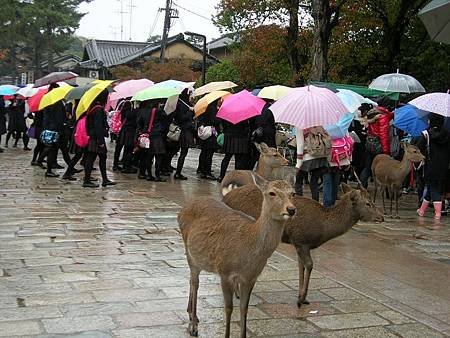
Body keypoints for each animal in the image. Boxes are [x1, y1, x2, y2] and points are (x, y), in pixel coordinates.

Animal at [178, 174, 298, 338]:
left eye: (293, 193)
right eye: (272, 193)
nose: (291, 209)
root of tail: (182, 209)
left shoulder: (251, 277)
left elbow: (244, 308)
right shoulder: (224, 271)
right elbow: (229, 308)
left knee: (193, 281)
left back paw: (192, 315)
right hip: (189, 252)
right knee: (194, 282)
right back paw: (193, 325)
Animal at [223, 184, 382, 308]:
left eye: (372, 201)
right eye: (368, 203)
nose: (381, 217)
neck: (323, 227)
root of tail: (225, 197)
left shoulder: (298, 243)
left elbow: (301, 266)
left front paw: (301, 297)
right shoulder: (301, 240)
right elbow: (309, 265)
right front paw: (301, 299)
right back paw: (237, 293)